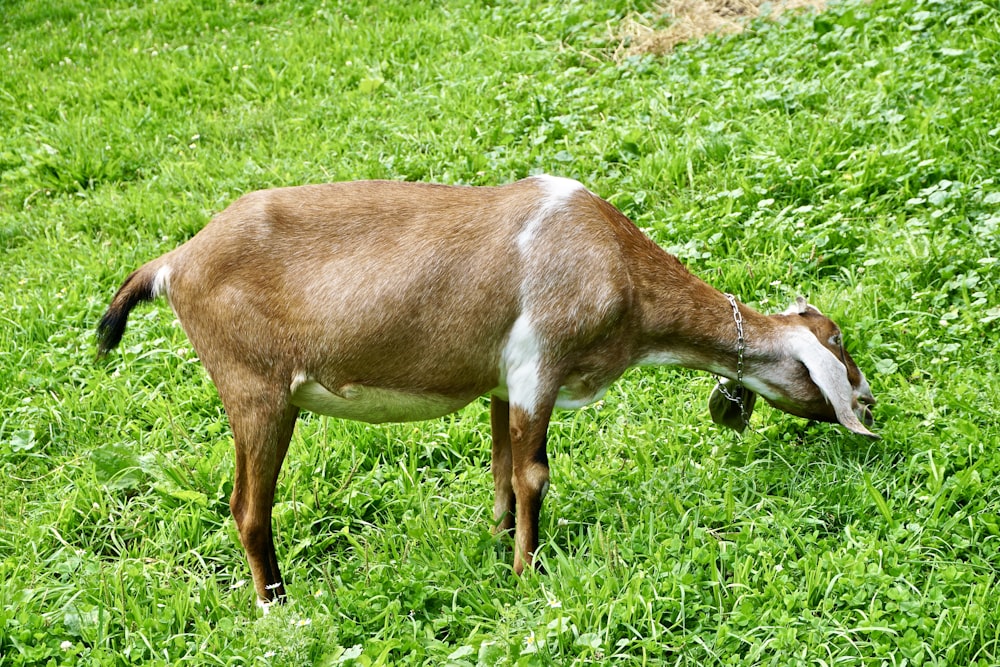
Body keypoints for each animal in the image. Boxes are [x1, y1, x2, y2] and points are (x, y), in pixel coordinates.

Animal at [95, 176, 876, 604]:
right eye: (839, 346)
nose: (870, 406)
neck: (615, 264)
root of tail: (174, 262)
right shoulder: (539, 366)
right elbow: (535, 474)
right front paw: (529, 572)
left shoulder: (504, 381)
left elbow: (502, 469)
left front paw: (500, 548)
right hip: (258, 390)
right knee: (249, 509)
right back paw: (279, 606)